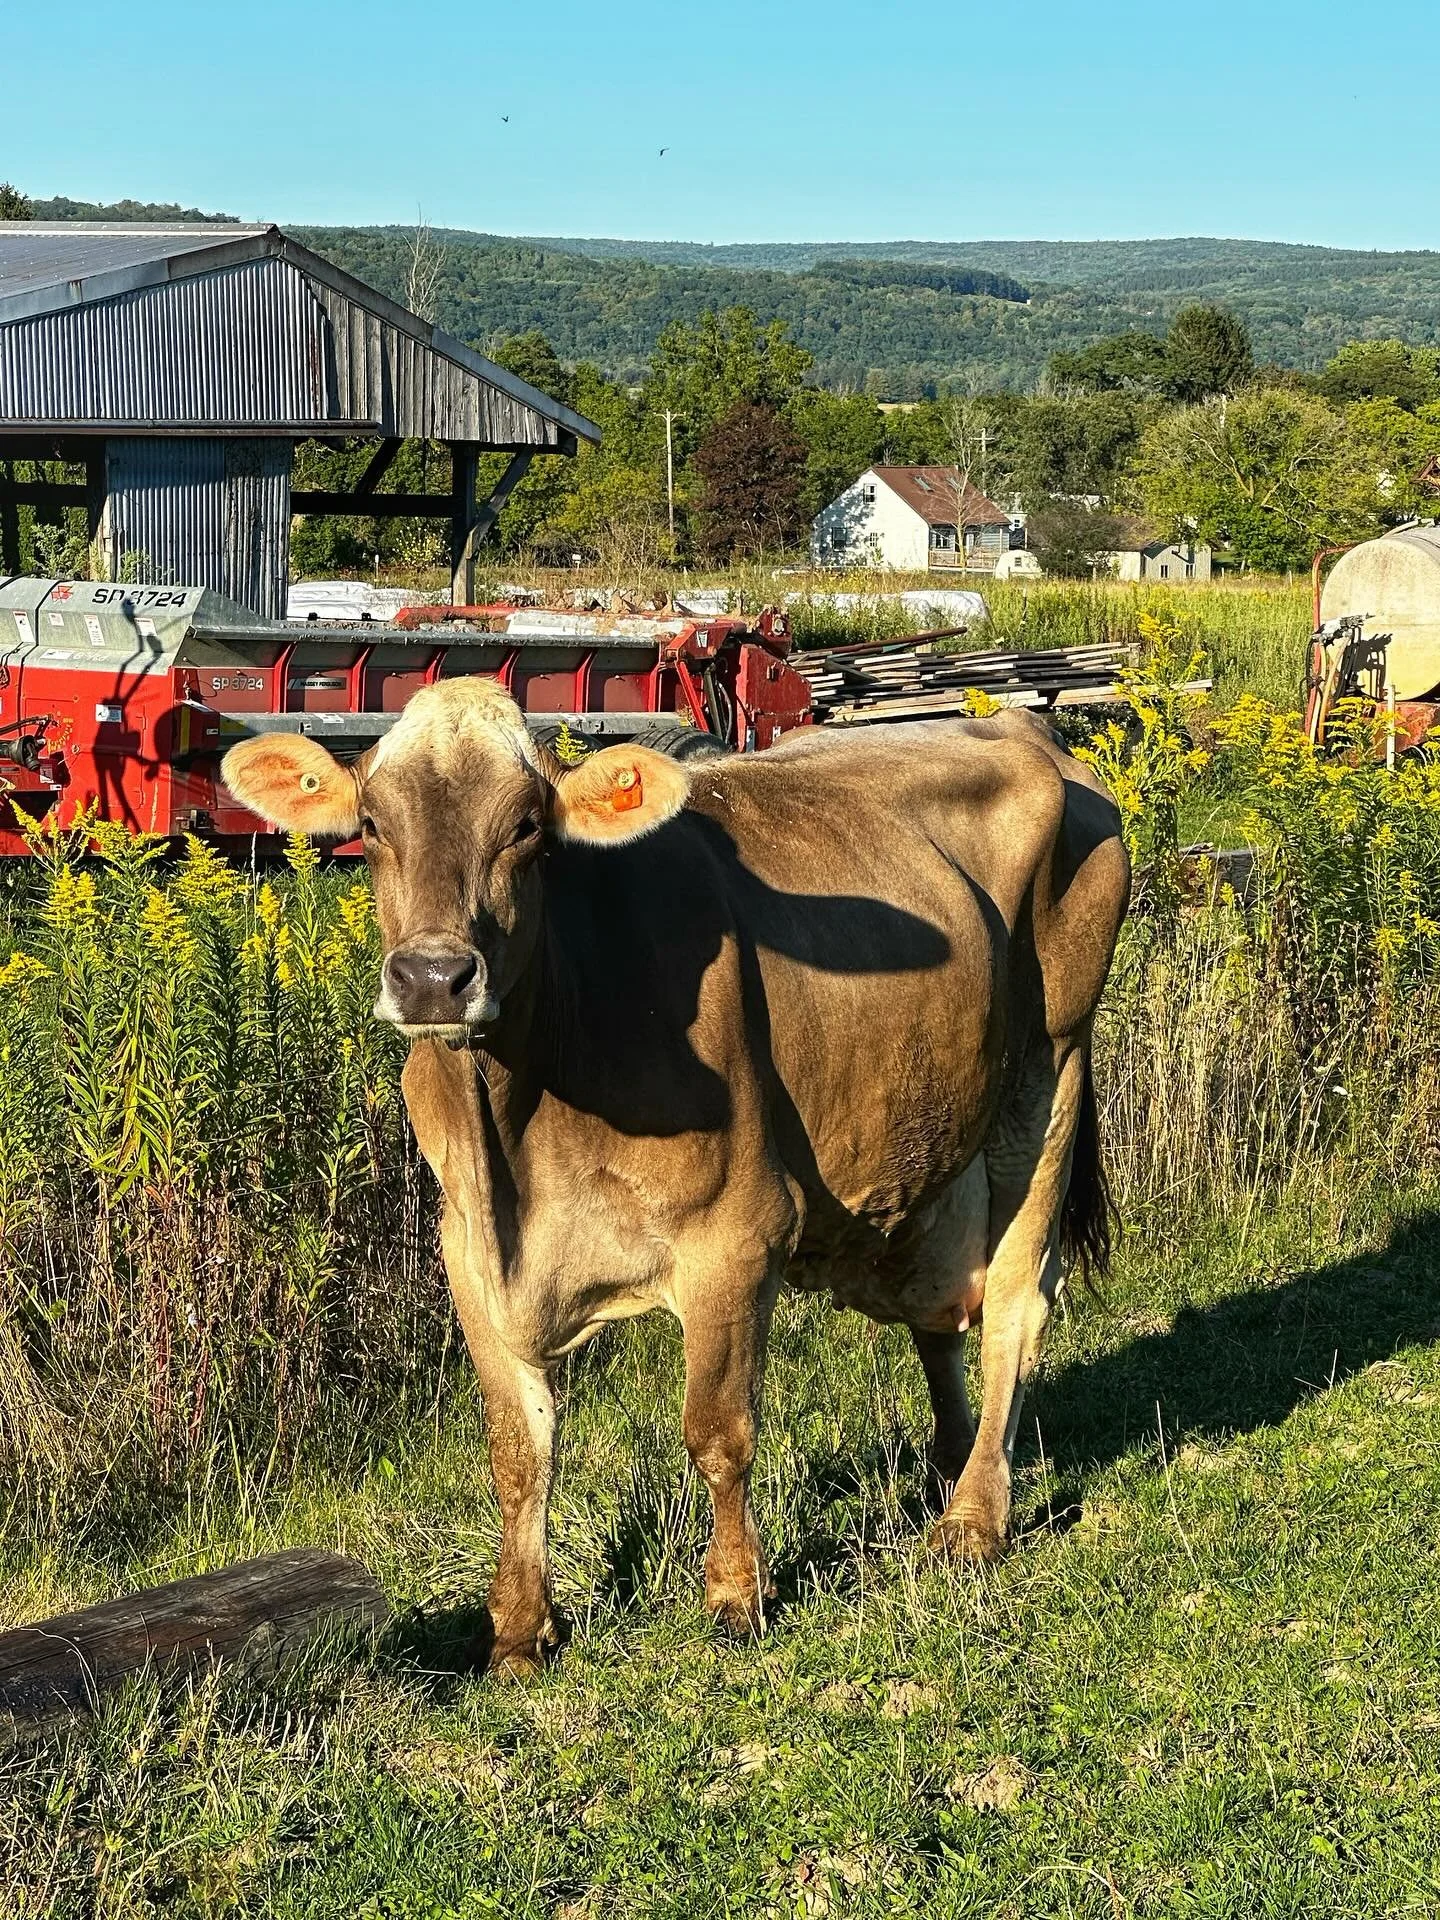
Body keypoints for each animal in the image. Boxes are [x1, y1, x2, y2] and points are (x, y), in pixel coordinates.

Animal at [222, 682, 1129, 1672]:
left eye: (527, 828)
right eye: (373, 825)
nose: (433, 977)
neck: (519, 1125)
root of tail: (1022, 726)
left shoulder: (737, 1235)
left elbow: (718, 1431)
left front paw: (735, 1594)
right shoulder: (470, 1254)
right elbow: (517, 1451)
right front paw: (519, 1630)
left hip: (1050, 1072)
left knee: (1013, 1303)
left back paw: (973, 1517)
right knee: (939, 1312)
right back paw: (950, 1465)